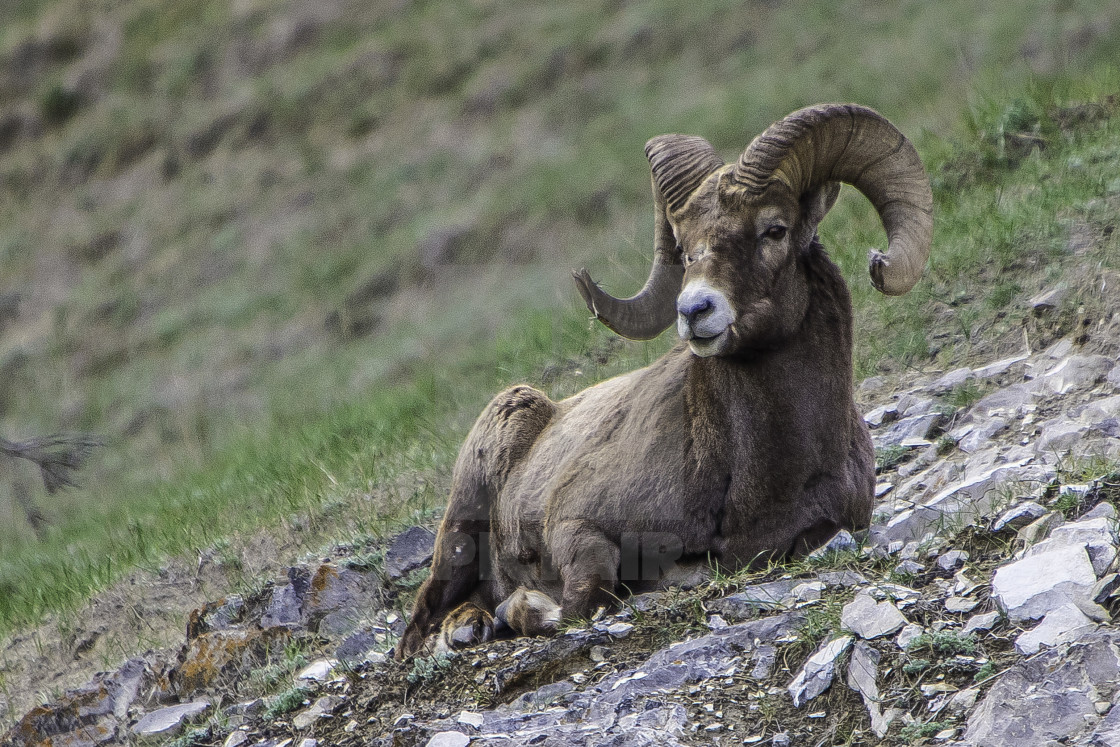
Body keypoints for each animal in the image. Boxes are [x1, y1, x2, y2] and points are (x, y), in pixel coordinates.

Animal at [398, 102, 931, 658]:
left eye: (775, 230)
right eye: (683, 245)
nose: (694, 310)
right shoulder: (573, 524)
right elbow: (587, 597)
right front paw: (527, 606)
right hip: (459, 533)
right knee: (419, 625)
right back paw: (465, 628)